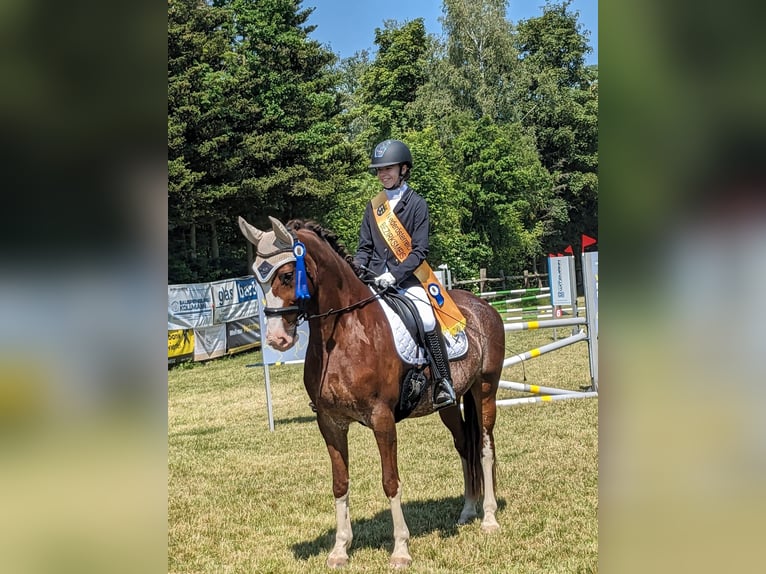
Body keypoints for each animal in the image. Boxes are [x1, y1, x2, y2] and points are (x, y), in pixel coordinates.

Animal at [237, 217, 508, 572]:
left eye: (285, 275)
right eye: (257, 277)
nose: (277, 340)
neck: (341, 334)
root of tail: (482, 304)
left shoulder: (382, 419)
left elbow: (390, 481)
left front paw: (401, 550)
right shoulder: (330, 423)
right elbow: (340, 483)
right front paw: (339, 549)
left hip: (485, 389)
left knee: (486, 447)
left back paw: (489, 518)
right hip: (450, 404)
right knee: (465, 445)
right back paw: (467, 511)